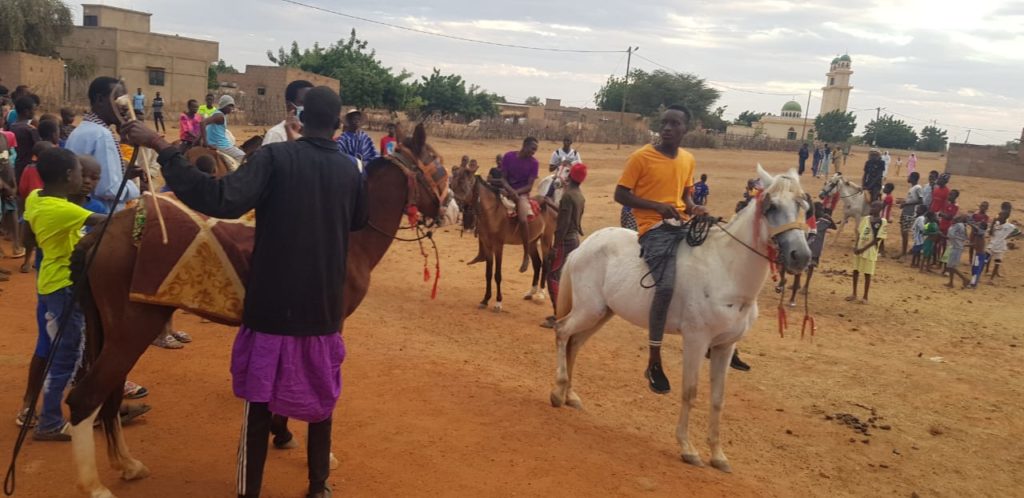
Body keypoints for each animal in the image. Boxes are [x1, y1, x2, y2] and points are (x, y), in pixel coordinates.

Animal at [62, 126, 444, 495]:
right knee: (86, 399)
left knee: (108, 396)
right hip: (132, 330)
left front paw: (282, 433)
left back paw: (126, 464)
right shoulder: (326, 325)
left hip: (111, 333)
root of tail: (103, 232)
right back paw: (94, 486)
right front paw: (318, 455)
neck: (352, 237)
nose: (449, 208)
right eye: (439, 167)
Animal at [548, 164, 811, 473]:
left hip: (602, 312)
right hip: (588, 309)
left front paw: (718, 455)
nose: (800, 256)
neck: (727, 270)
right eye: (772, 207)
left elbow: (718, 400)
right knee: (562, 332)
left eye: (803, 205)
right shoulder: (696, 341)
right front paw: (688, 448)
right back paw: (558, 392)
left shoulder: (725, 347)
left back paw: (569, 394)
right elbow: (691, 391)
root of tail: (584, 246)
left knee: (574, 343)